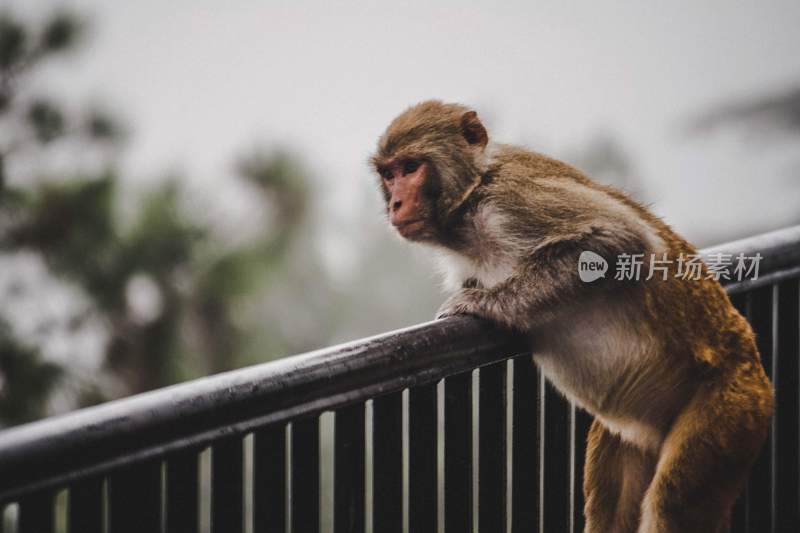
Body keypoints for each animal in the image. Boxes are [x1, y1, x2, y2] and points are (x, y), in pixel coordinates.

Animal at [370, 100, 776, 532]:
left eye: (411, 167)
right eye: (389, 174)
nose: (395, 204)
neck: (469, 203)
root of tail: (754, 367)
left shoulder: (509, 203)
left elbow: (619, 239)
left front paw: (483, 303)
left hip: (729, 412)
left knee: (672, 503)